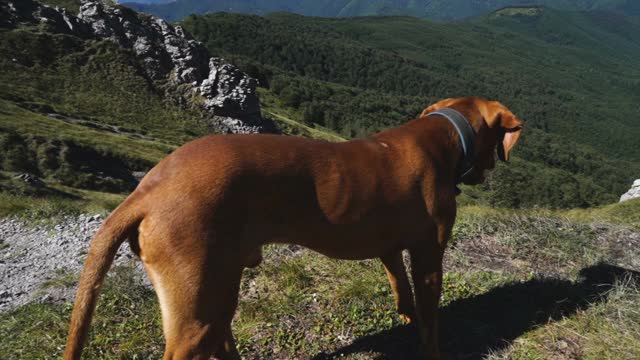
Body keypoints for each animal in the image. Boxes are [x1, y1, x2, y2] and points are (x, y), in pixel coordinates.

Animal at [65, 97, 524, 358]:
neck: (443, 134)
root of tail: (148, 189)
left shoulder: (390, 248)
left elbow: (401, 289)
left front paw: (406, 317)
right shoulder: (429, 255)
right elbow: (430, 315)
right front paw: (430, 345)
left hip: (219, 288)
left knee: (221, 336)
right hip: (194, 309)